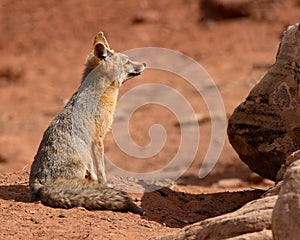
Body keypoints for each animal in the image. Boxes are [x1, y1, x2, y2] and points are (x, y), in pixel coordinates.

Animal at [29, 31, 145, 214]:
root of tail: (40, 185)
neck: (99, 94)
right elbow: (101, 169)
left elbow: (93, 171)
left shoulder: (92, 142)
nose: (145, 63)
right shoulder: (98, 138)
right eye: (127, 61)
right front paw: (105, 184)